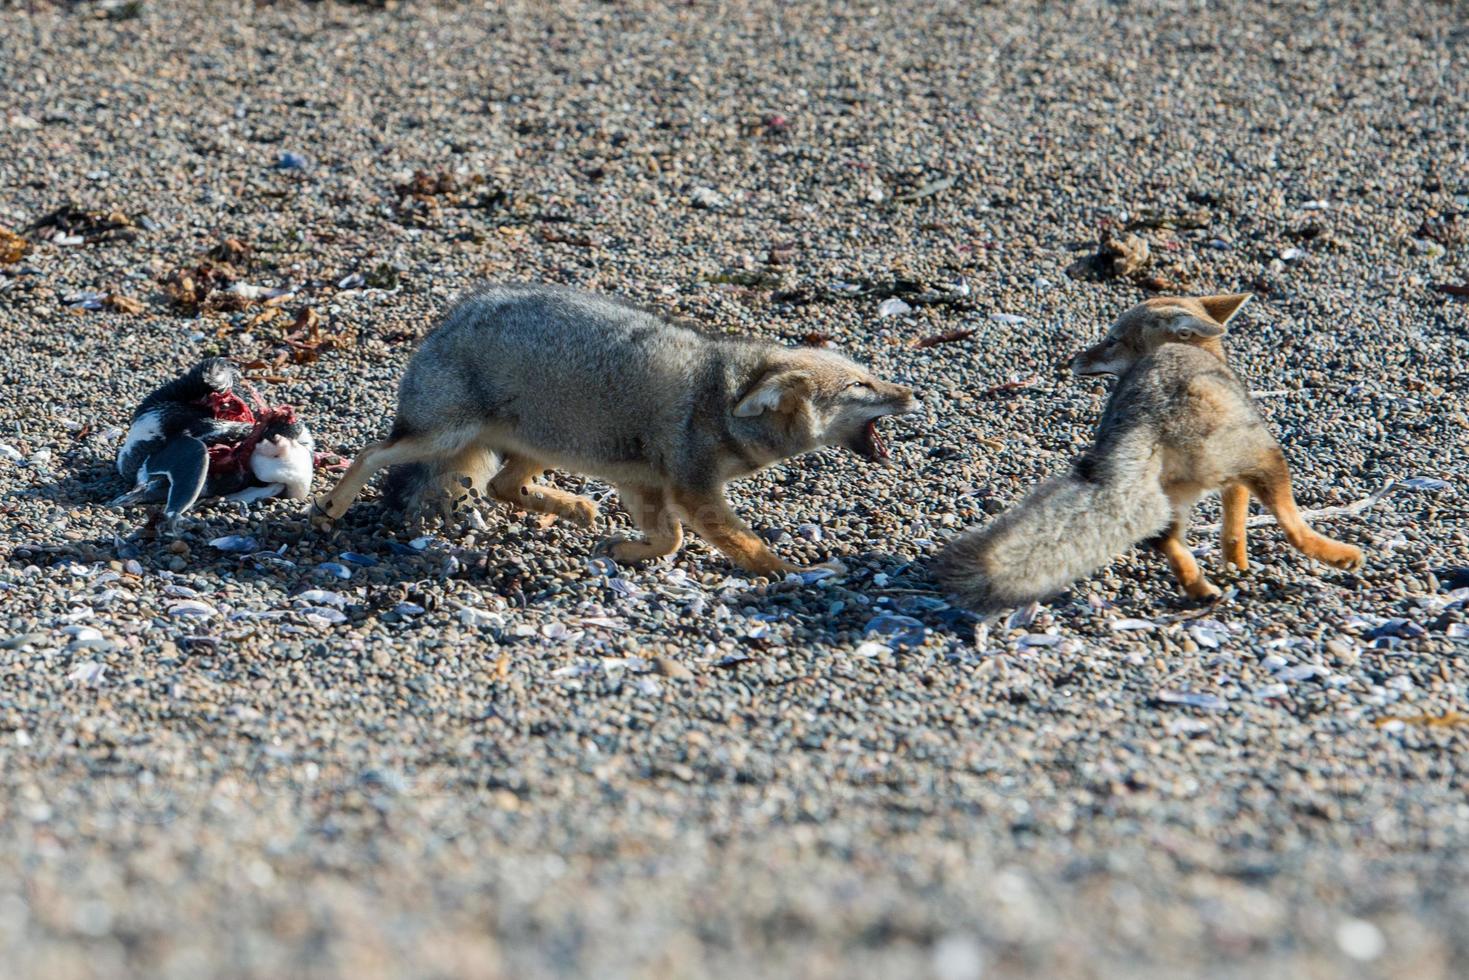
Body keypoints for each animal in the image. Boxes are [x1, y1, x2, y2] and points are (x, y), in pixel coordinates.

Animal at [934, 295, 1369, 608]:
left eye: (1110, 340)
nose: (1072, 359)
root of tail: (1151, 412)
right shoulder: (1238, 477)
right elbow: (1236, 526)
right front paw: (1240, 565)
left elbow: (1230, 532)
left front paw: (1233, 567)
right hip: (1267, 456)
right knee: (1293, 526)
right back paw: (1340, 555)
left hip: (1170, 494)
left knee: (1164, 540)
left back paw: (1200, 589)